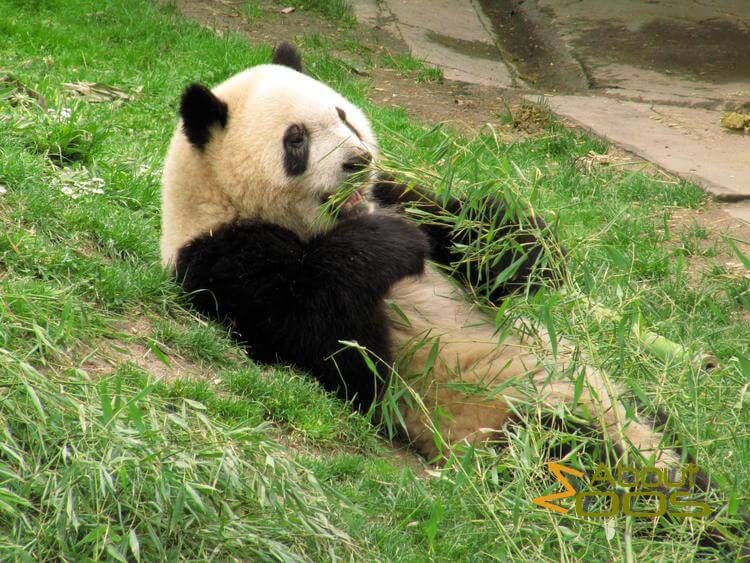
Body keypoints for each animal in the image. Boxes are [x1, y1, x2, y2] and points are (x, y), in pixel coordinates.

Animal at [160, 42, 680, 467]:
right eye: (296, 140)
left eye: (343, 116)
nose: (357, 161)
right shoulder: (222, 257)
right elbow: (330, 345)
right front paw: (390, 245)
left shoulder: (397, 197)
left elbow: (471, 240)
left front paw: (520, 250)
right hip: (505, 419)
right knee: (567, 451)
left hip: (603, 385)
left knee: (660, 422)